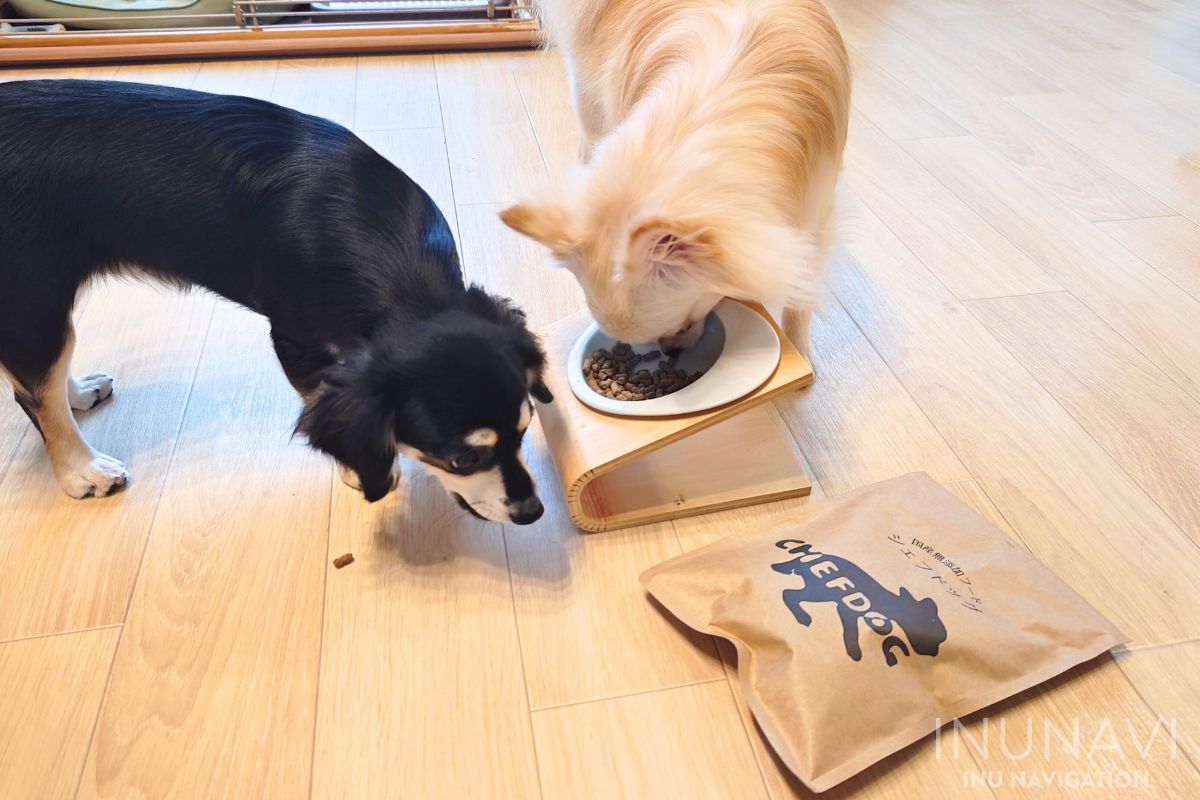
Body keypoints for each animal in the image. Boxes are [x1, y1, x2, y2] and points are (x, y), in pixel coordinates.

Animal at [0, 81, 552, 525]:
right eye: (462, 460)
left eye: (525, 431)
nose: (533, 512)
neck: (396, 267)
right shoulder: (296, 341)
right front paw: (364, 472)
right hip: (33, 297)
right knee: (36, 392)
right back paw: (83, 469)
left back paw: (77, 392)